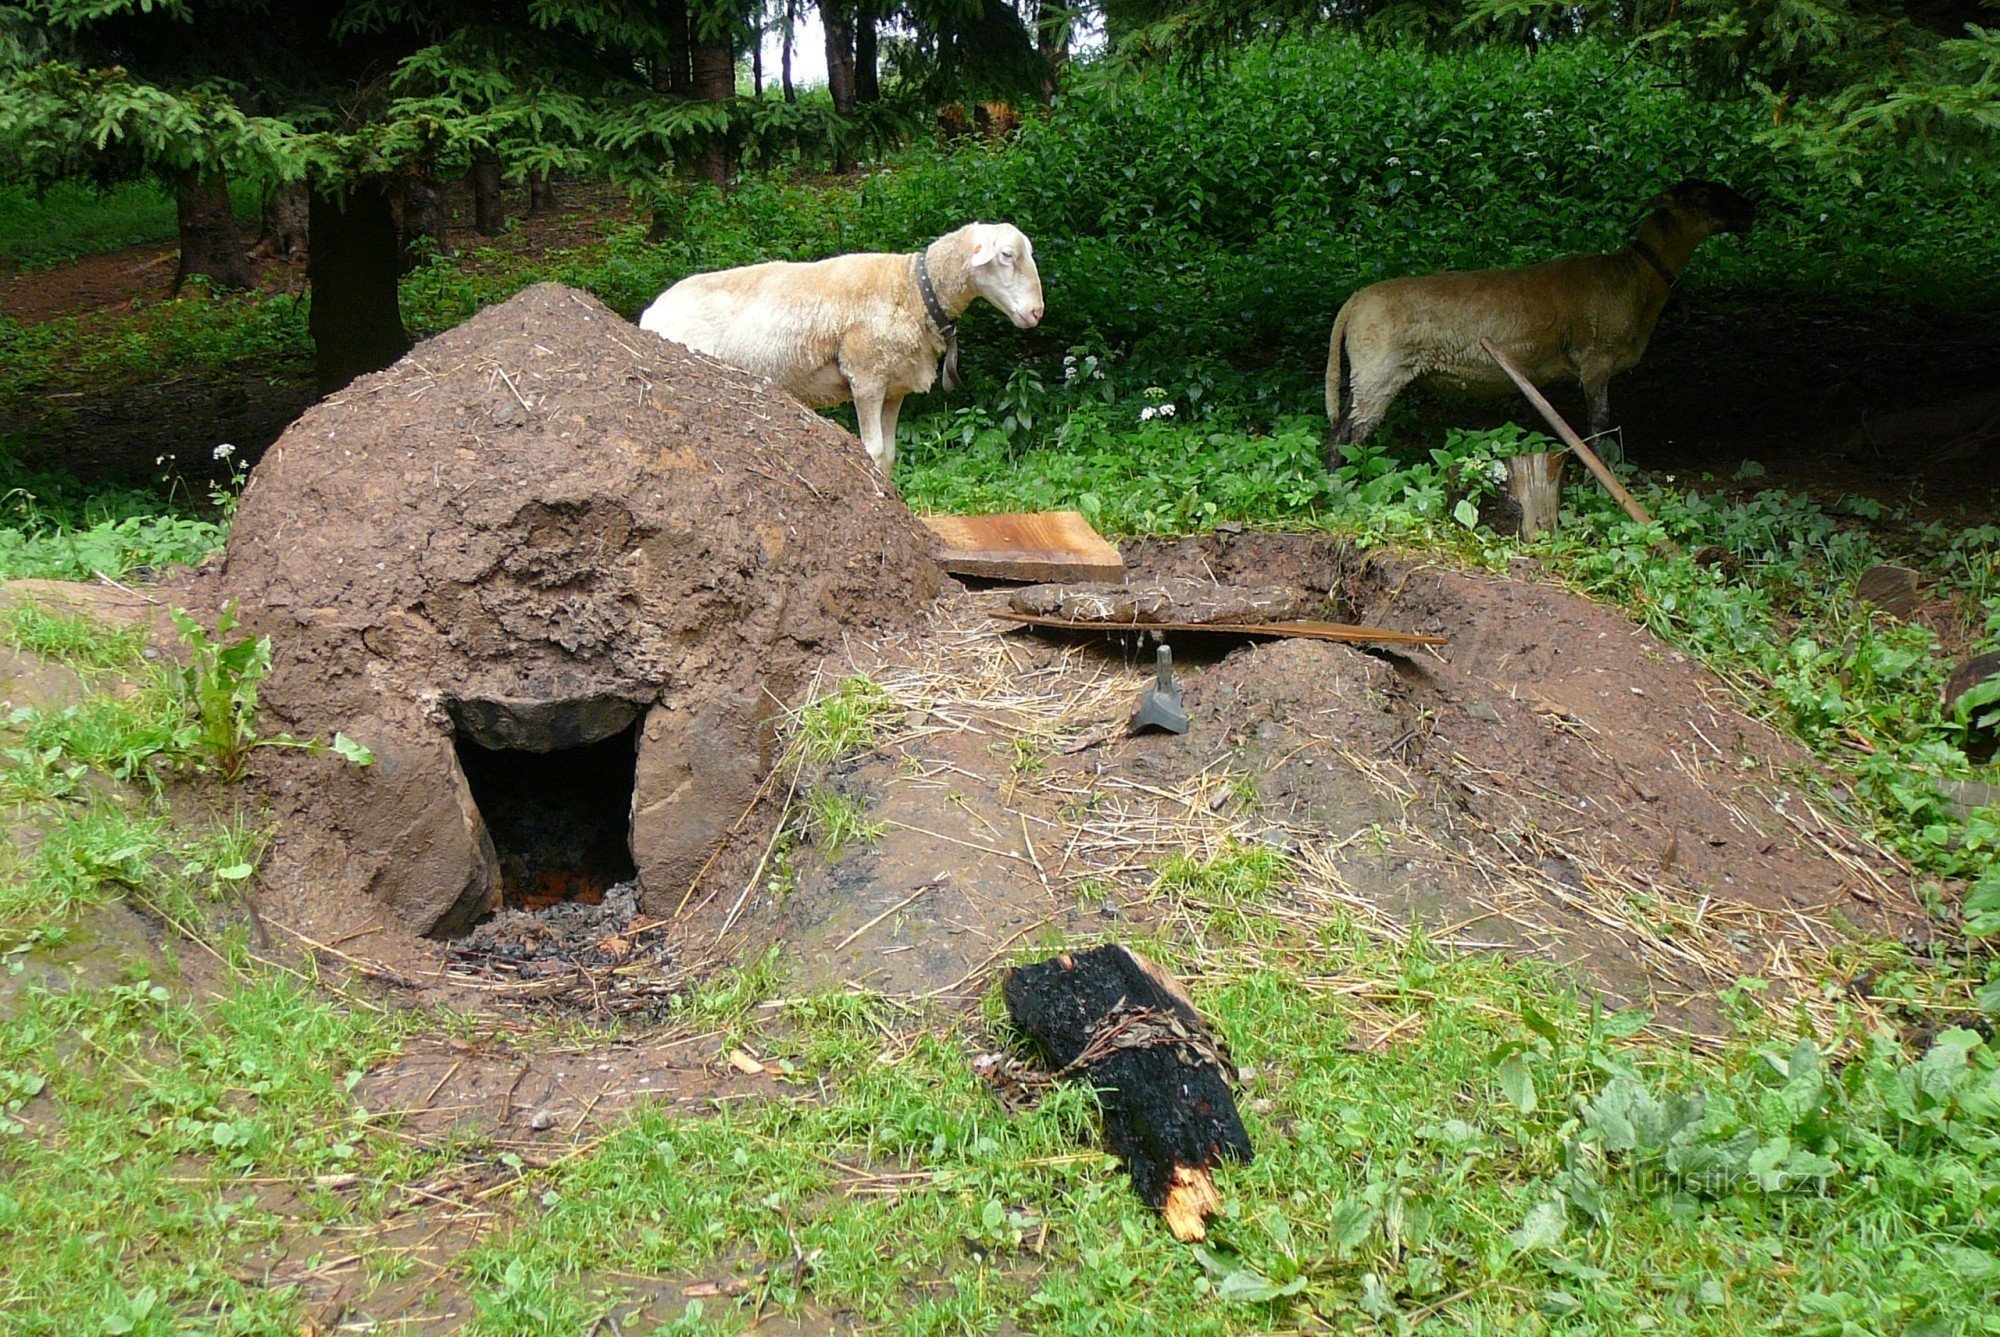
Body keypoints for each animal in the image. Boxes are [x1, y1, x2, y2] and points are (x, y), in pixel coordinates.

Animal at [640, 226, 1048, 480]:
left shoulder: (894, 388)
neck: (914, 289)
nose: (1036, 312)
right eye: (1007, 255)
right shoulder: (866, 376)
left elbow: (889, 455)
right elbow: (873, 451)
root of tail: (651, 312)